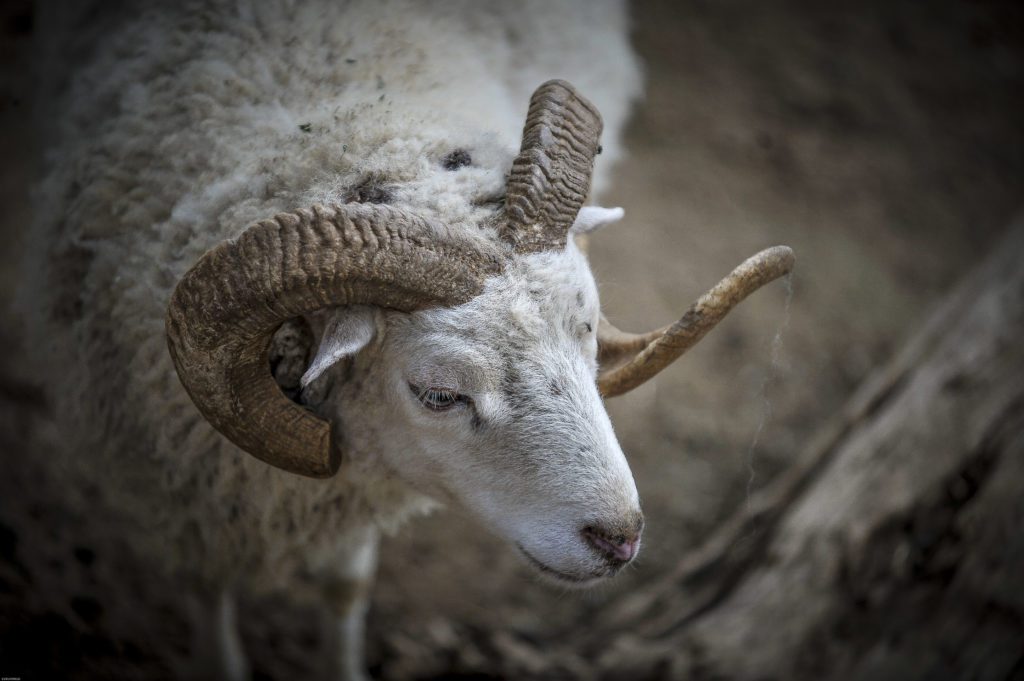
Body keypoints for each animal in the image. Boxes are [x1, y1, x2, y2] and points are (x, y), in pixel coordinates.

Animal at [22, 2, 790, 675]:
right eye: (440, 395)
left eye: (588, 338)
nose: (620, 538)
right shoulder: (173, 477)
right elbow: (207, 588)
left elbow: (345, 586)